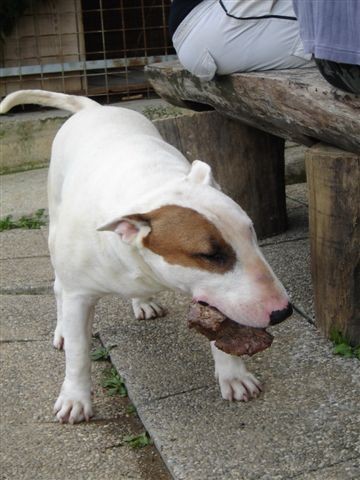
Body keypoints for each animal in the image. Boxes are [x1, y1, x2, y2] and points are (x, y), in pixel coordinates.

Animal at [0, 90, 292, 424]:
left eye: (251, 231)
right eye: (209, 254)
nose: (283, 312)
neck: (149, 189)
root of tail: (94, 107)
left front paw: (234, 376)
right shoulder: (79, 295)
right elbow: (78, 353)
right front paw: (75, 399)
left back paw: (142, 301)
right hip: (54, 224)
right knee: (58, 288)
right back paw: (62, 331)